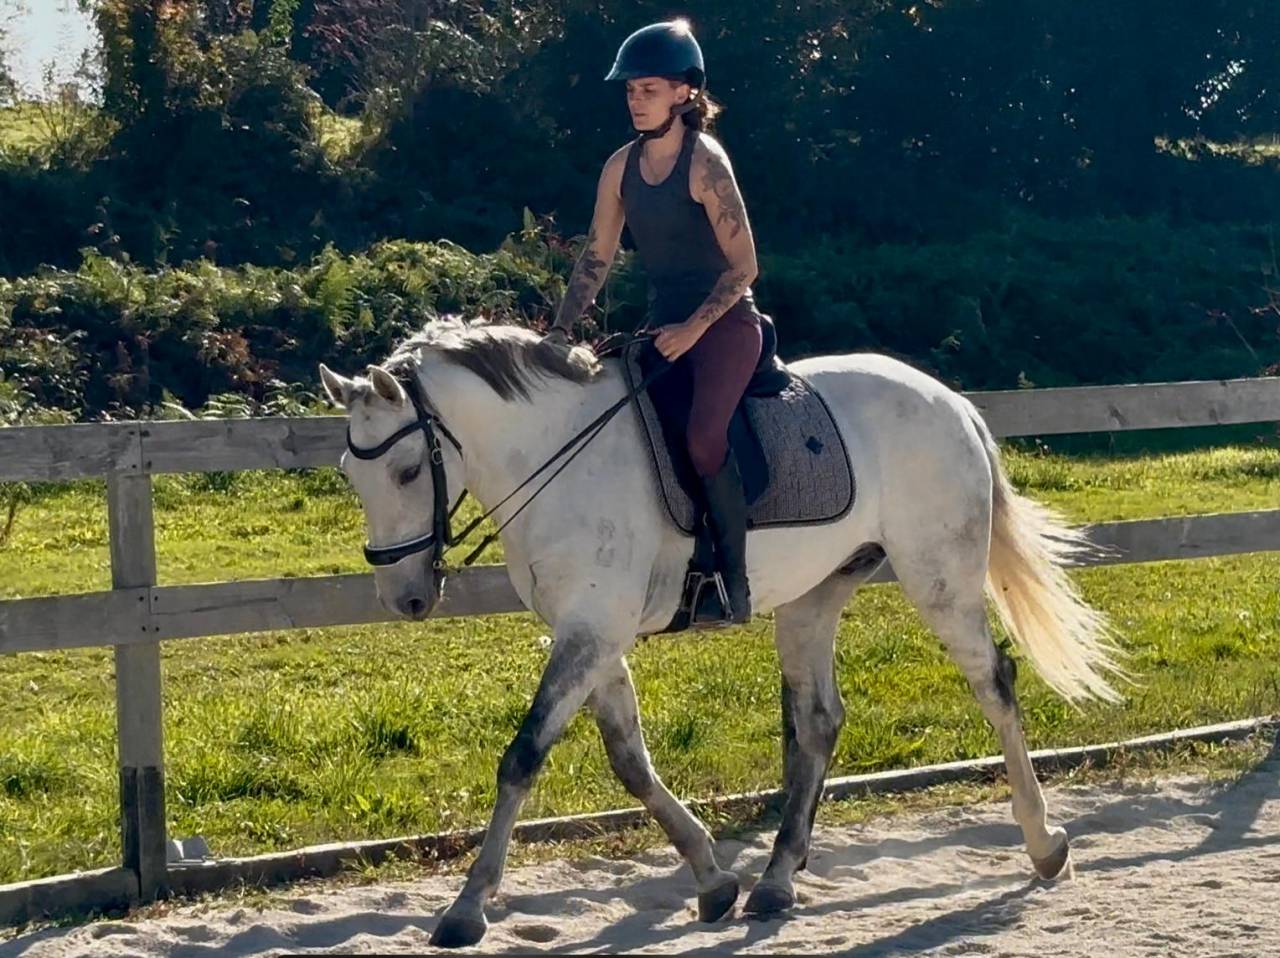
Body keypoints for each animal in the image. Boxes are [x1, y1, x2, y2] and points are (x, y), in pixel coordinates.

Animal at [318, 317, 1123, 948]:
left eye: (408, 468)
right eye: (351, 474)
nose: (406, 597)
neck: (559, 459)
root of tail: (949, 400)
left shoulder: (591, 632)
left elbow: (522, 757)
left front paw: (467, 906)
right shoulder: (593, 638)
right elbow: (630, 761)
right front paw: (711, 880)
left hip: (941, 580)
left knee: (994, 685)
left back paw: (1044, 844)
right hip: (813, 598)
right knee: (820, 721)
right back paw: (776, 879)